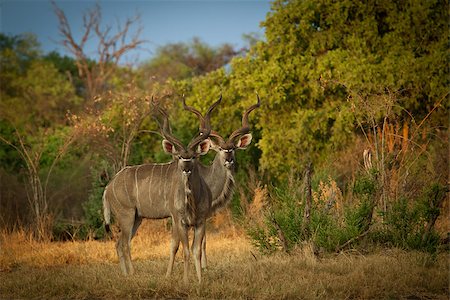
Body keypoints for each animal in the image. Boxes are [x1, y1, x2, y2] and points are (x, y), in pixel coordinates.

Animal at [102, 97, 221, 282]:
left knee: (119, 243)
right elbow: (185, 250)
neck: (192, 199)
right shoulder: (179, 220)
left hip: (137, 218)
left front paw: (200, 281)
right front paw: (185, 281)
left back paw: (126, 275)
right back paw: (133, 274)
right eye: (180, 156)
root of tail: (109, 187)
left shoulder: (201, 222)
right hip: (126, 215)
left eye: (194, 156)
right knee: (124, 244)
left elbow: (196, 251)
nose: (186, 169)